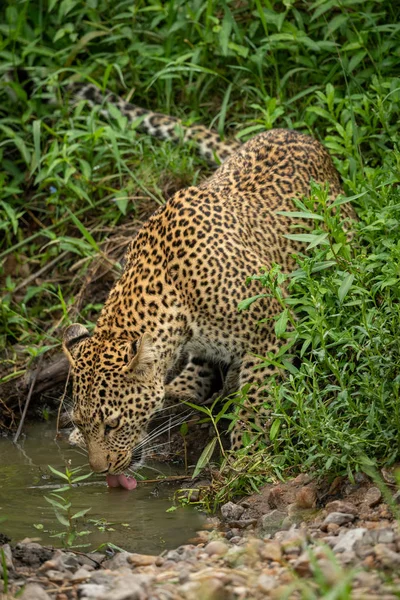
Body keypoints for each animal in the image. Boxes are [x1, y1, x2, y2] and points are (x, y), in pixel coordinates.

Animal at [63, 84, 356, 478]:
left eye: (112, 424)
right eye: (81, 422)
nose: (101, 471)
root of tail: (300, 135)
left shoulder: (271, 325)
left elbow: (258, 397)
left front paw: (247, 452)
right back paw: (181, 388)